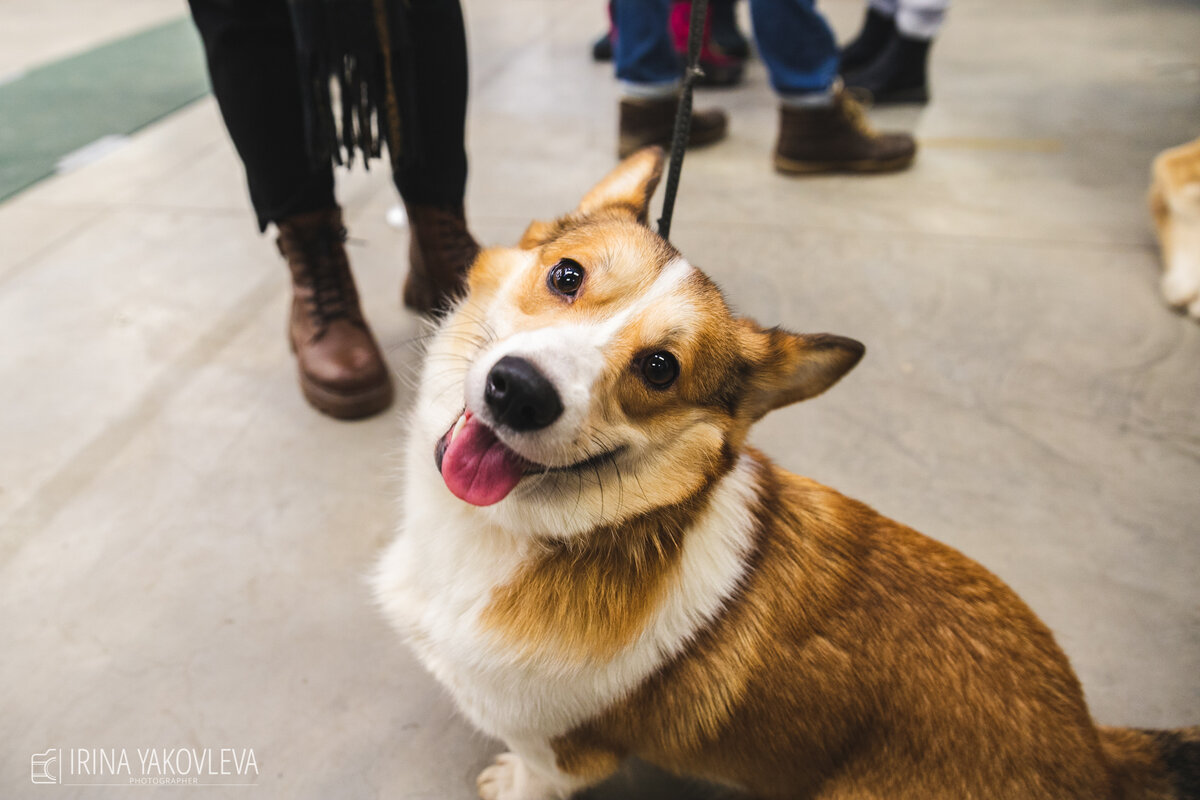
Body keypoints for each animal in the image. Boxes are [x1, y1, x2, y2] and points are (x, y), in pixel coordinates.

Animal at [372, 149, 1190, 800]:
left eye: (660, 369)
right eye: (566, 275)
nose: (520, 390)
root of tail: (1095, 748)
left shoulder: (562, 753)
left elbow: (531, 778)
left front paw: (503, 780)